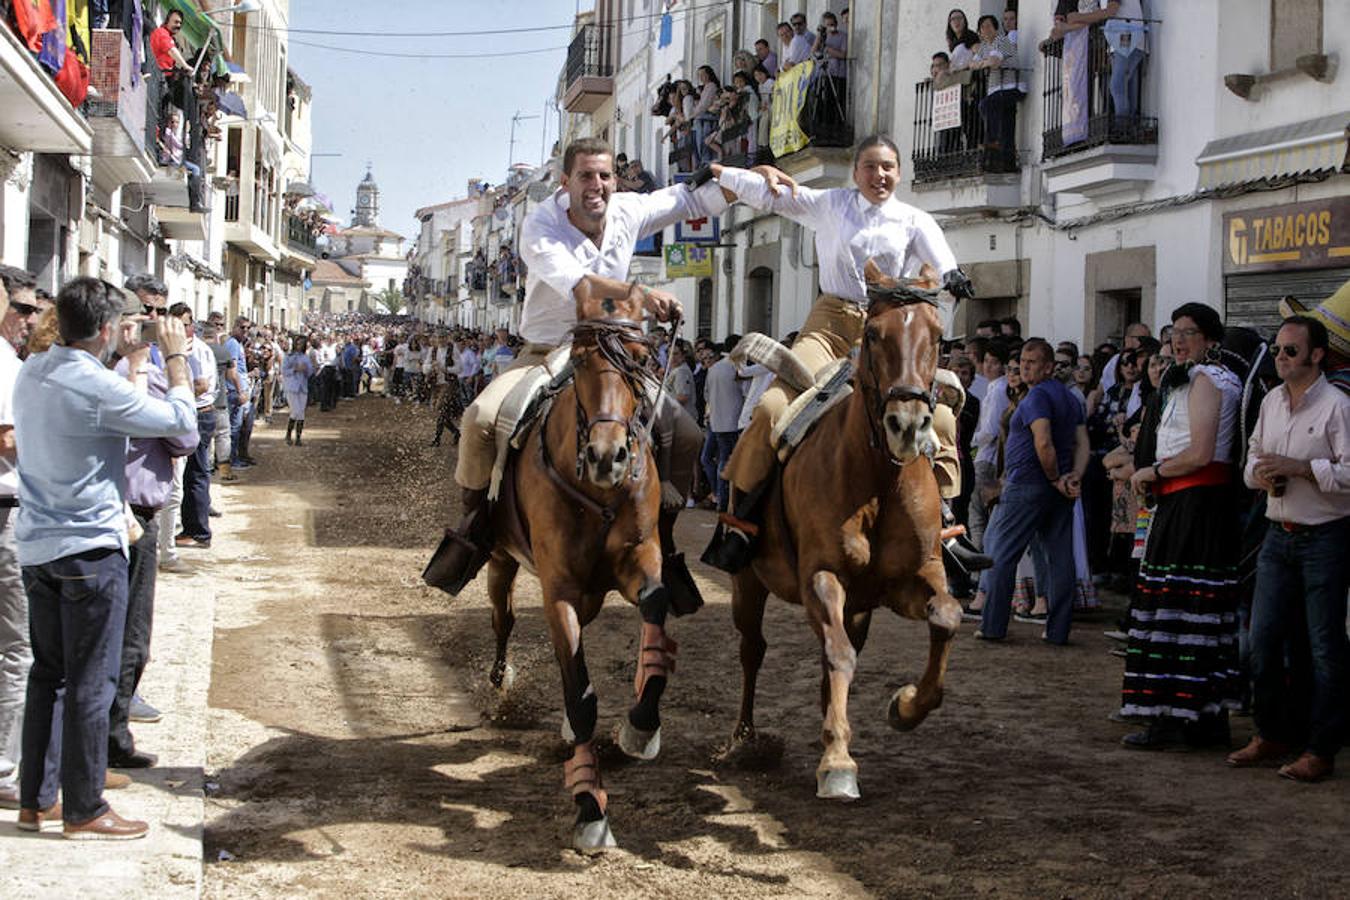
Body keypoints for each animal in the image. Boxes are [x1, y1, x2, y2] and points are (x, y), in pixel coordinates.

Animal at [483, 294, 675, 852]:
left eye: (640, 361)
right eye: (584, 362)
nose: (608, 457)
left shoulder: (641, 559)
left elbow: (656, 607)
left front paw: (641, 726)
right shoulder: (561, 590)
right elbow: (580, 693)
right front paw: (590, 809)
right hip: (502, 559)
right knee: (503, 619)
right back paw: (500, 678)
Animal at [729, 267, 961, 804]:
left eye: (938, 337)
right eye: (874, 334)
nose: (907, 425)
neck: (878, 479)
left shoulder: (913, 578)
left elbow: (947, 616)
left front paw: (907, 706)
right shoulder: (821, 575)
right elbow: (838, 655)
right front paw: (837, 763)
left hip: (858, 606)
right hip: (748, 581)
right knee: (753, 649)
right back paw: (745, 742)